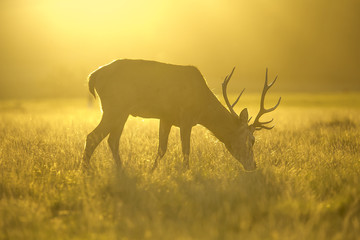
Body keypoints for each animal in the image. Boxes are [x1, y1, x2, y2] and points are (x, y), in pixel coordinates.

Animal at [82, 58, 282, 170]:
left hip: (121, 112)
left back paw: (120, 170)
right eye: (252, 140)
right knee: (93, 136)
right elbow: (186, 150)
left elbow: (161, 149)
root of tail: (92, 76)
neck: (202, 108)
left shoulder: (166, 117)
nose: (253, 165)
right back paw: (86, 171)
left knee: (112, 140)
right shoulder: (186, 116)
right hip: (114, 107)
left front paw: (151, 171)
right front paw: (186, 173)